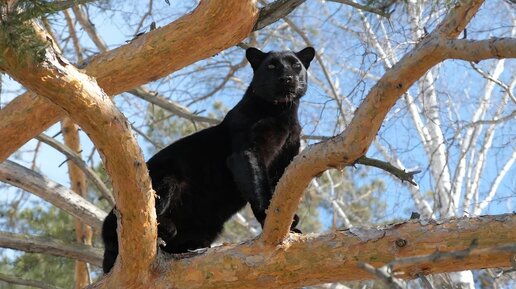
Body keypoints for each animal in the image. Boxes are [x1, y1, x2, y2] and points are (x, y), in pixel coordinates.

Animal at [102, 45, 314, 272]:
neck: (282, 112)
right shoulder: (247, 153)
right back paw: (167, 229)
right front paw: (268, 218)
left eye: (296, 65)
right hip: (167, 178)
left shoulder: (283, 162)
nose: (287, 78)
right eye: (272, 66)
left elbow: (278, 192)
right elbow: (260, 188)